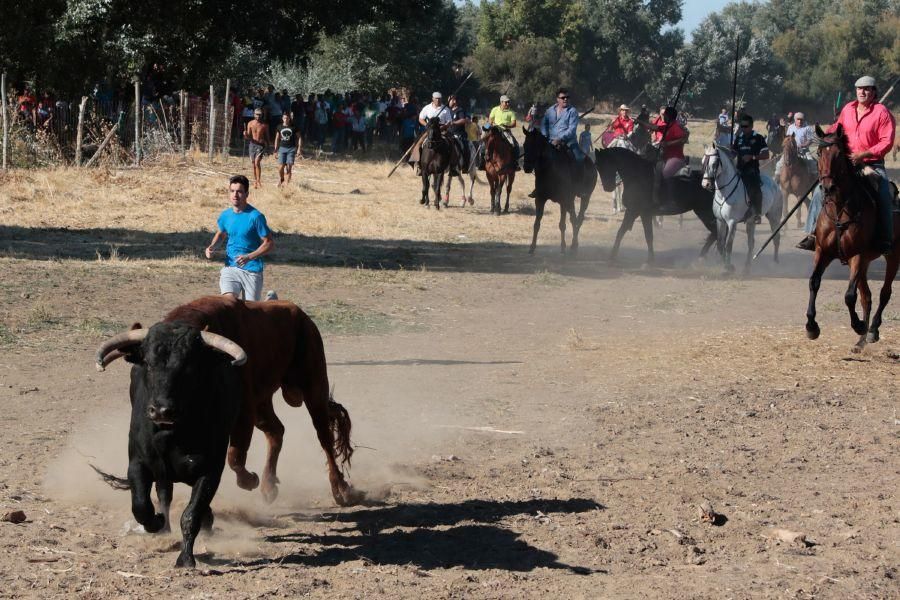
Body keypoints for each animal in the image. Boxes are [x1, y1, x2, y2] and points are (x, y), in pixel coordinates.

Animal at [92, 296, 358, 568]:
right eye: (146, 363)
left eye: (190, 367)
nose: (162, 410)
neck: (179, 430)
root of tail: (297, 313)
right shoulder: (140, 462)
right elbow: (143, 505)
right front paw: (159, 523)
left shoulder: (219, 453)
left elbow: (215, 483)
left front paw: (186, 557)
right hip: (263, 403)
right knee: (276, 431)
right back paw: (268, 486)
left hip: (313, 386)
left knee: (324, 438)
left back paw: (340, 490)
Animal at [700, 144, 784, 274]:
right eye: (703, 162)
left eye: (714, 164)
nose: (706, 184)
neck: (725, 194)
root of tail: (775, 184)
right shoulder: (720, 221)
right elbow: (720, 244)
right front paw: (723, 264)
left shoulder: (732, 222)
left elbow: (728, 245)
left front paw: (729, 267)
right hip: (751, 221)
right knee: (751, 243)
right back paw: (747, 267)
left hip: (774, 218)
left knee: (776, 238)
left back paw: (775, 263)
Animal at [804, 125, 896, 354]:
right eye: (820, 152)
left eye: (839, 155)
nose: (827, 187)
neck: (840, 208)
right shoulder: (822, 251)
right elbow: (814, 282)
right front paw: (811, 326)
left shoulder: (857, 255)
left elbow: (849, 296)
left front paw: (858, 325)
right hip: (866, 264)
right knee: (867, 297)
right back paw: (860, 341)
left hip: (893, 256)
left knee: (884, 293)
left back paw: (871, 331)